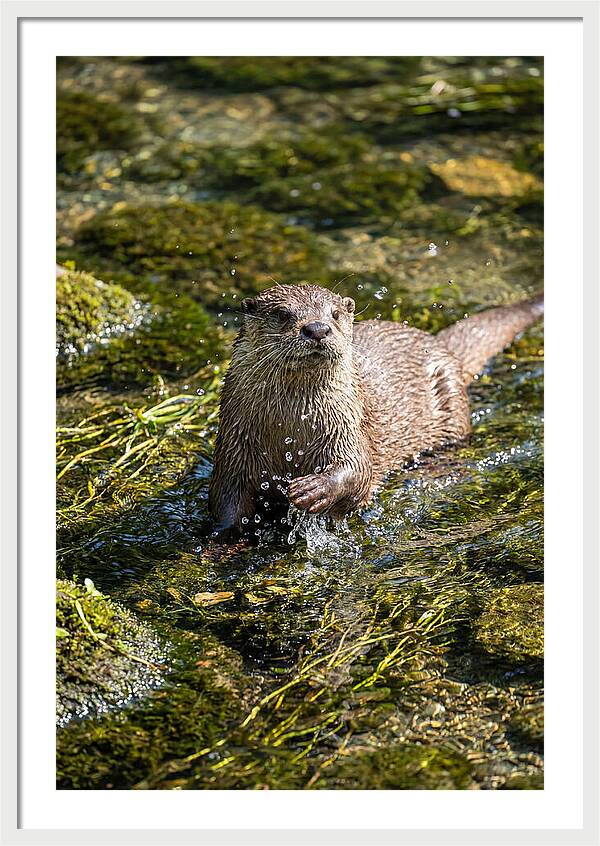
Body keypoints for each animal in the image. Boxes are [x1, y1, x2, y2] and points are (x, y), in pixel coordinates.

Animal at [209, 285, 543, 537]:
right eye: (282, 314)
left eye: (335, 314)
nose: (317, 329)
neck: (291, 430)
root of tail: (439, 344)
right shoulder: (234, 448)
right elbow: (226, 502)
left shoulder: (348, 427)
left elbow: (358, 471)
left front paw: (313, 489)